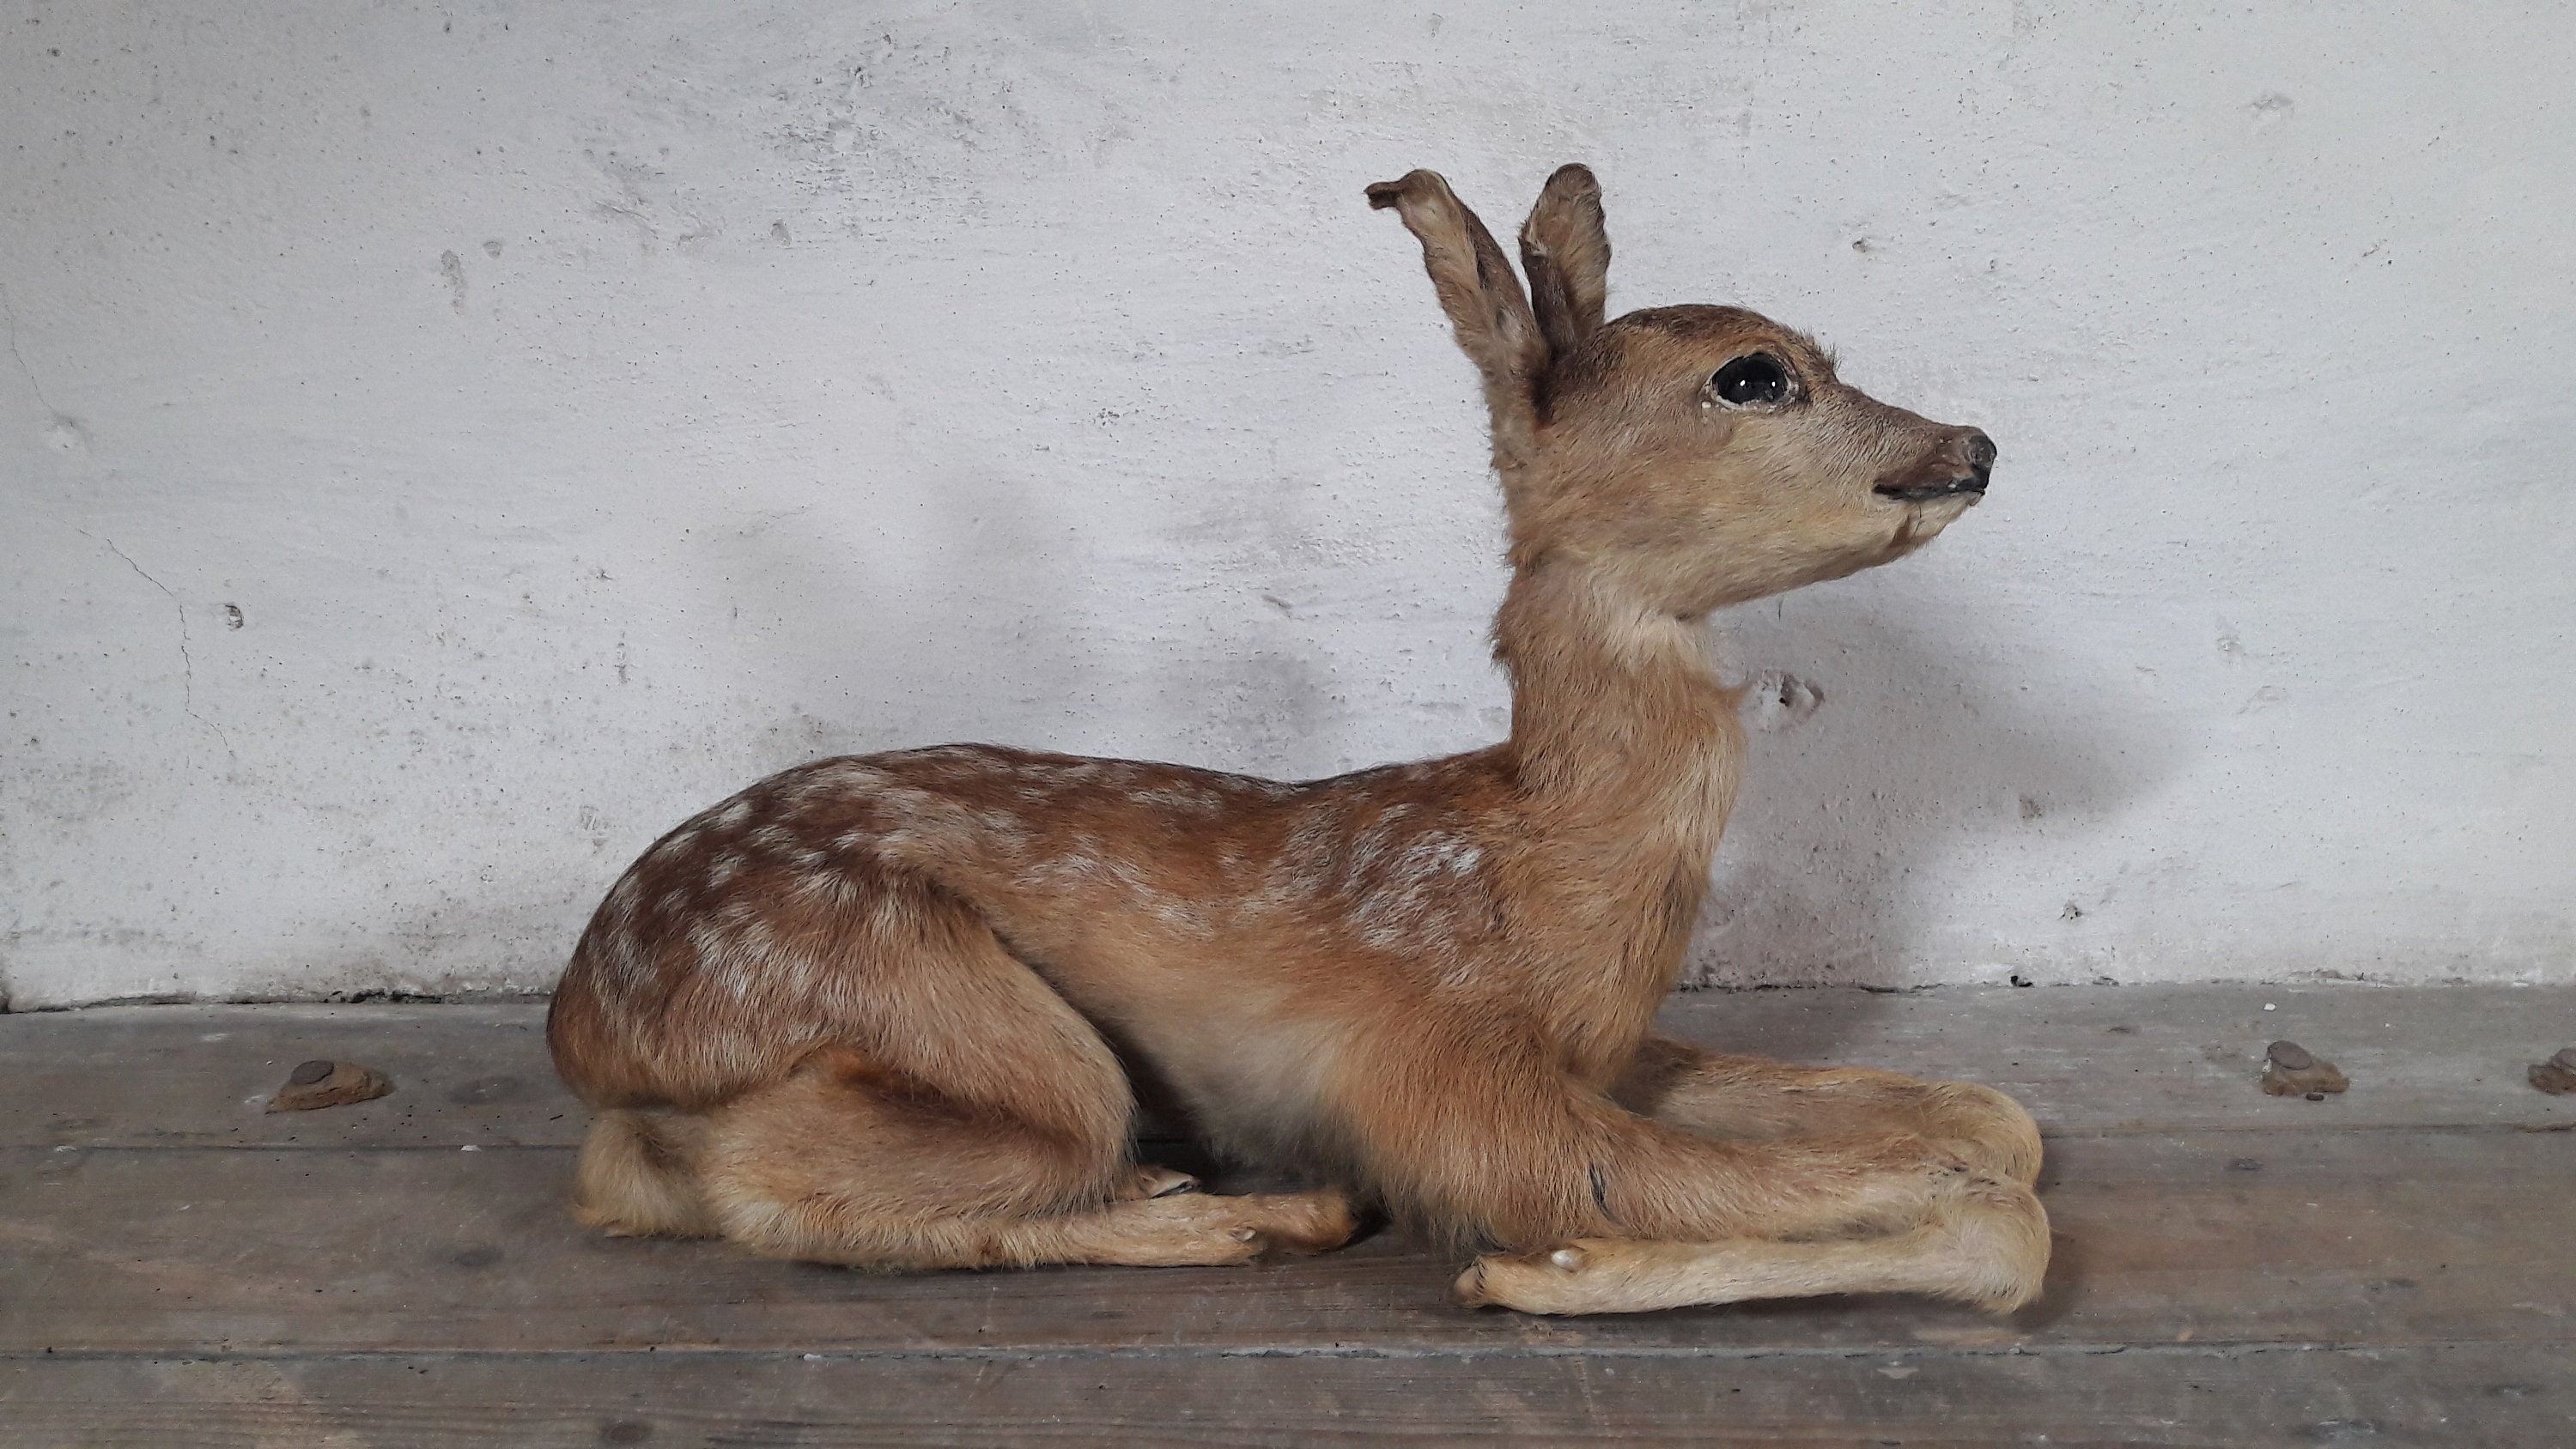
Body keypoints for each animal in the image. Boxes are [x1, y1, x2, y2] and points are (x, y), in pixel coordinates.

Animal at [545, 164, 2049, 1316]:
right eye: (1753, 376)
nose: (1972, 444)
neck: (1533, 864)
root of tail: (587, 1027)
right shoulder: (1445, 1070)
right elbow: (1983, 1203)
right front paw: (1546, 1269)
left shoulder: (1607, 1048)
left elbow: (1992, 1118)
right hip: (937, 1005)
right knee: (778, 1187)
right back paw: (1247, 1215)